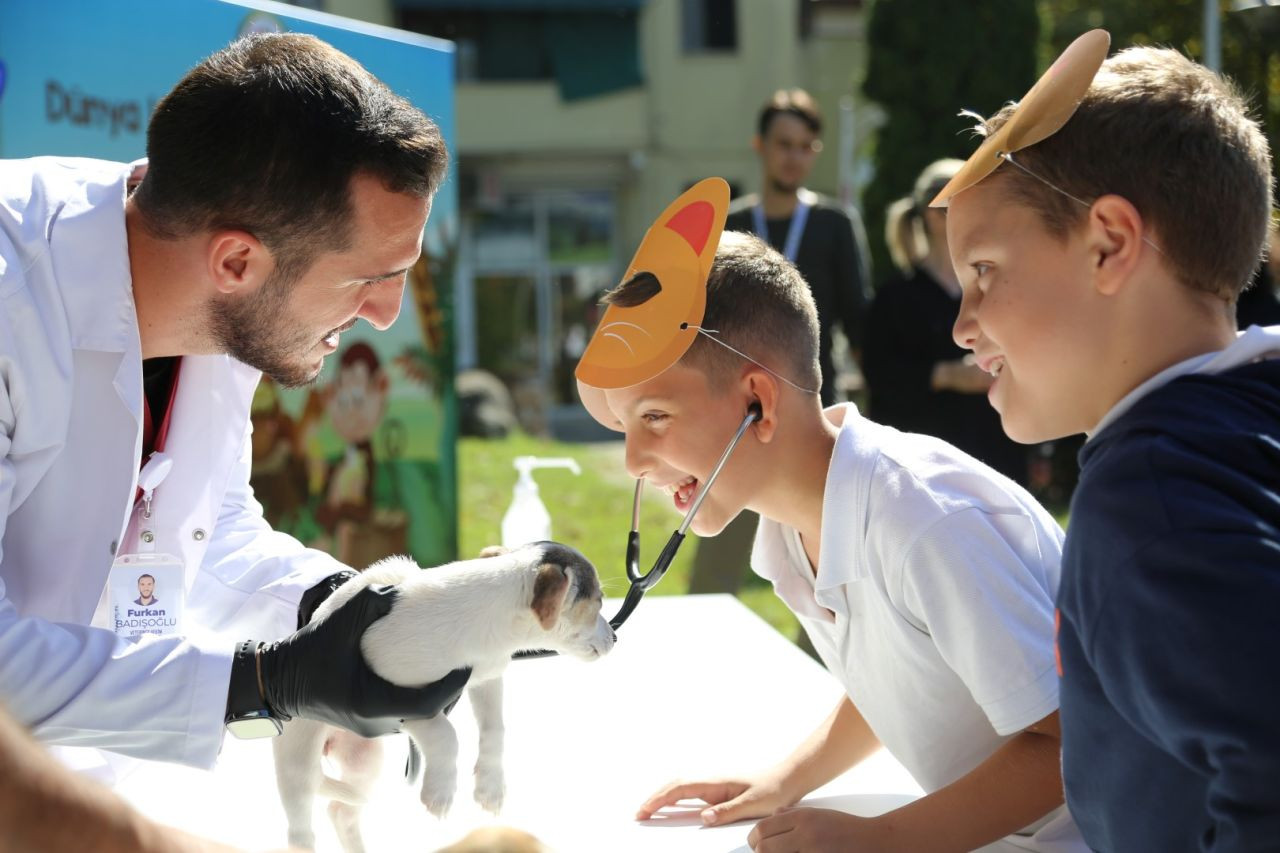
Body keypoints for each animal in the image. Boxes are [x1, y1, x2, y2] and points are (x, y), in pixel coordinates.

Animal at [272, 540, 611, 845]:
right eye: (599, 601)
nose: (616, 637)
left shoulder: (485, 679)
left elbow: (495, 729)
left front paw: (490, 786)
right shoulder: (406, 703)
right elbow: (446, 735)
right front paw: (440, 791)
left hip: (364, 761)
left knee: (341, 812)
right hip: (299, 767)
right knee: (301, 832)